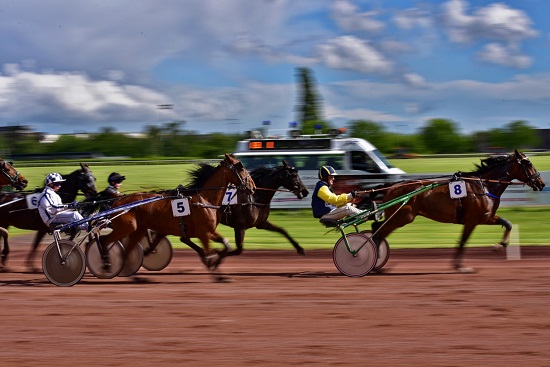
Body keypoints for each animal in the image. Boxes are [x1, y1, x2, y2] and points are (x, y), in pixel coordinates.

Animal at [102, 154, 256, 280]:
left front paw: (216, 263)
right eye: (241, 168)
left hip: (138, 230)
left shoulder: (209, 231)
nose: (253, 187)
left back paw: (133, 275)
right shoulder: (203, 233)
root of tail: (117, 202)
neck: (205, 199)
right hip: (126, 227)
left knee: (127, 251)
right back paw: (106, 264)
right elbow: (209, 251)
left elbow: (226, 244)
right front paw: (216, 272)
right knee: (105, 241)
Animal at [374, 150, 544, 274]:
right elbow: (463, 241)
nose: (541, 183)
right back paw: (374, 262)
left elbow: (508, 223)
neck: (484, 187)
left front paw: (500, 245)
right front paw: (460, 266)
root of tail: (391, 187)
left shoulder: (486, 217)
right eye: (528, 163)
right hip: (402, 217)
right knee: (378, 233)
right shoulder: (473, 220)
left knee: (377, 230)